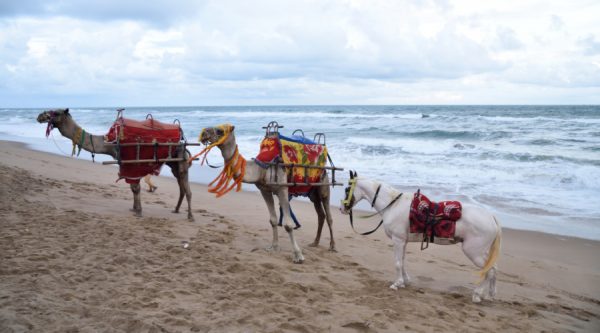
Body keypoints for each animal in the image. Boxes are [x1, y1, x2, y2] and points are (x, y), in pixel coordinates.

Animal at [35, 108, 193, 220]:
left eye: (56, 112)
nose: (40, 116)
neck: (110, 143)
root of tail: (182, 141)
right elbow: (133, 188)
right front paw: (134, 209)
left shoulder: (131, 165)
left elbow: (135, 188)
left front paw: (139, 211)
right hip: (174, 164)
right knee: (181, 187)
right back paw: (176, 210)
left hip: (181, 160)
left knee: (187, 188)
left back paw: (190, 216)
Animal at [198, 123, 336, 264]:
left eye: (220, 131)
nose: (204, 134)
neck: (261, 168)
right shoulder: (264, 190)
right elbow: (273, 220)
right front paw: (273, 247)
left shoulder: (282, 188)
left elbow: (288, 224)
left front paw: (298, 256)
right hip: (312, 193)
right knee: (321, 215)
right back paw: (315, 242)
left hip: (323, 185)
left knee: (329, 215)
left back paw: (332, 246)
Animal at [340, 172, 500, 302]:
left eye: (347, 189)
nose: (343, 208)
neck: (393, 205)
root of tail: (491, 217)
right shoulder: (402, 242)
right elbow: (402, 261)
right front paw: (404, 281)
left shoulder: (398, 240)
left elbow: (397, 263)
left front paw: (397, 283)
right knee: (493, 269)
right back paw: (489, 295)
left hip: (473, 252)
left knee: (489, 270)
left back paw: (478, 295)